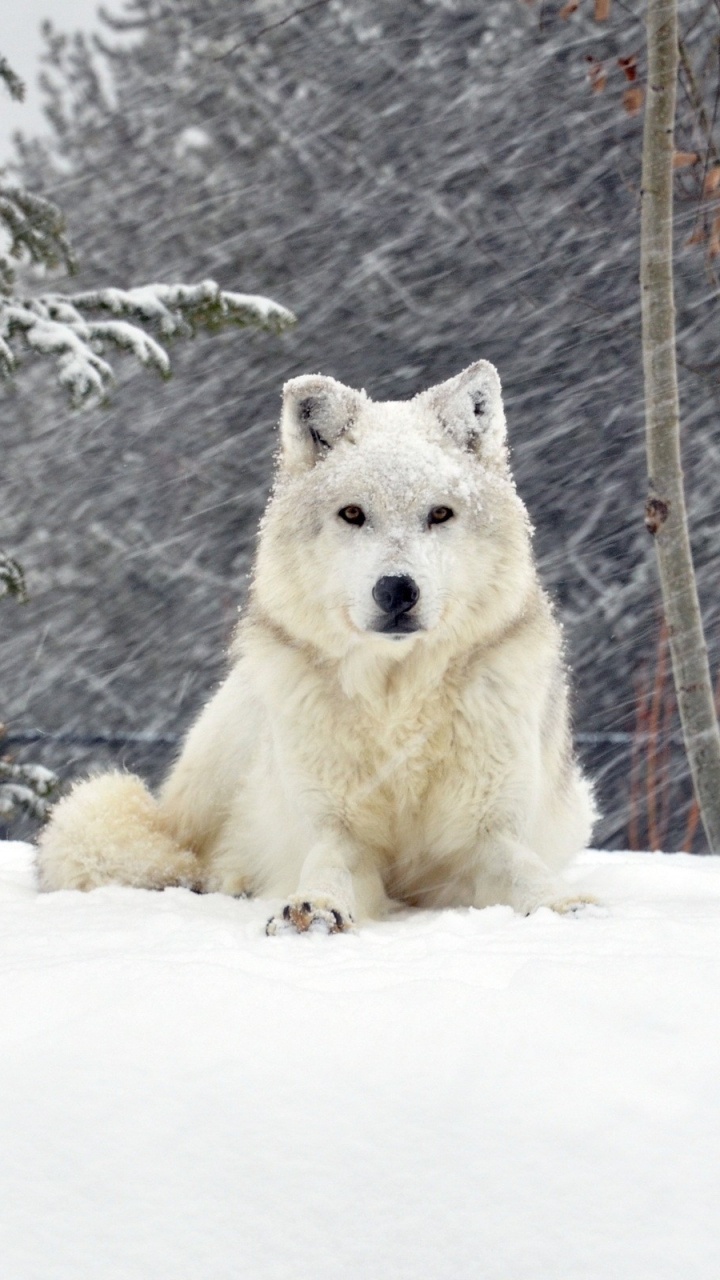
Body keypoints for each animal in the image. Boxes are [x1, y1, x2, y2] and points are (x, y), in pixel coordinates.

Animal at [36, 360, 596, 932]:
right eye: (352, 514)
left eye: (440, 514)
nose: (397, 590)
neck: (397, 702)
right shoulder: (334, 828)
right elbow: (327, 866)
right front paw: (316, 908)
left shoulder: (489, 831)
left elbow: (526, 869)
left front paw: (561, 905)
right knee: (195, 853)